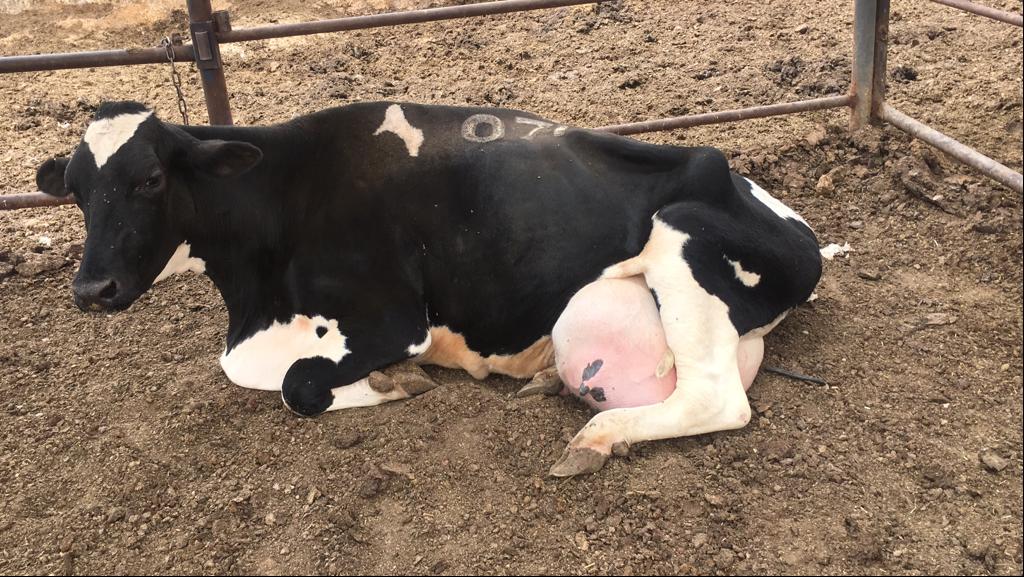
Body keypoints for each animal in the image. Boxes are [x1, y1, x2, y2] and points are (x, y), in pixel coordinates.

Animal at [34, 101, 823, 475]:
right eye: (73, 189)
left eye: (150, 178)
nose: (91, 288)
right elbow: (248, 371)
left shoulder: (392, 318)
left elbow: (297, 384)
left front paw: (392, 384)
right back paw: (550, 384)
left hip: (683, 246)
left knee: (715, 398)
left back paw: (597, 438)